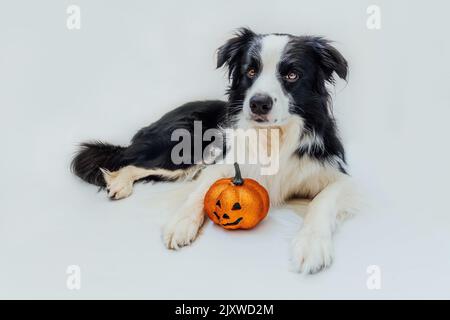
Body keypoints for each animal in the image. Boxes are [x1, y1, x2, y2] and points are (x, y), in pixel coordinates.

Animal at [71, 28, 358, 272]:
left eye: (292, 75)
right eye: (250, 71)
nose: (258, 103)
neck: (273, 136)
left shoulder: (337, 175)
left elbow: (323, 200)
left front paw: (312, 244)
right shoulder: (223, 163)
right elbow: (200, 192)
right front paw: (181, 224)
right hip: (182, 149)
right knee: (128, 160)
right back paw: (119, 183)